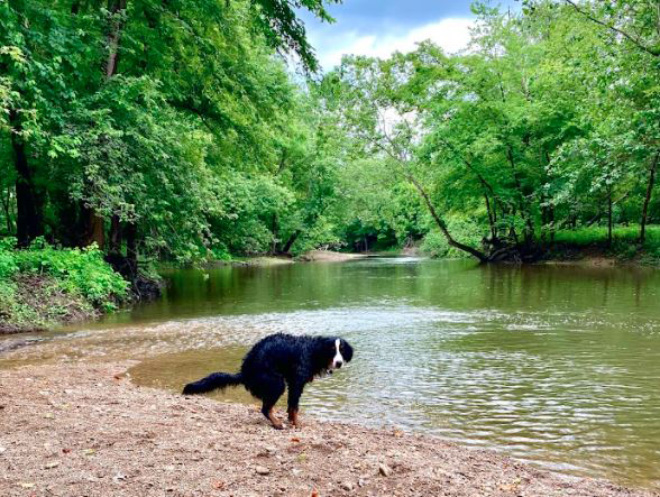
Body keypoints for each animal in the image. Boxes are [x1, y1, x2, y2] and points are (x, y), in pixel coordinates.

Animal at [183, 332, 354, 428]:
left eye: (342, 350)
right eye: (331, 350)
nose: (339, 363)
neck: (312, 352)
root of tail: (245, 371)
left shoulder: (293, 383)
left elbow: (291, 407)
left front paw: (291, 420)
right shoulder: (296, 382)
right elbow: (295, 407)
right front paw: (297, 424)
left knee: (268, 407)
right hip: (277, 383)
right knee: (265, 409)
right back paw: (277, 424)